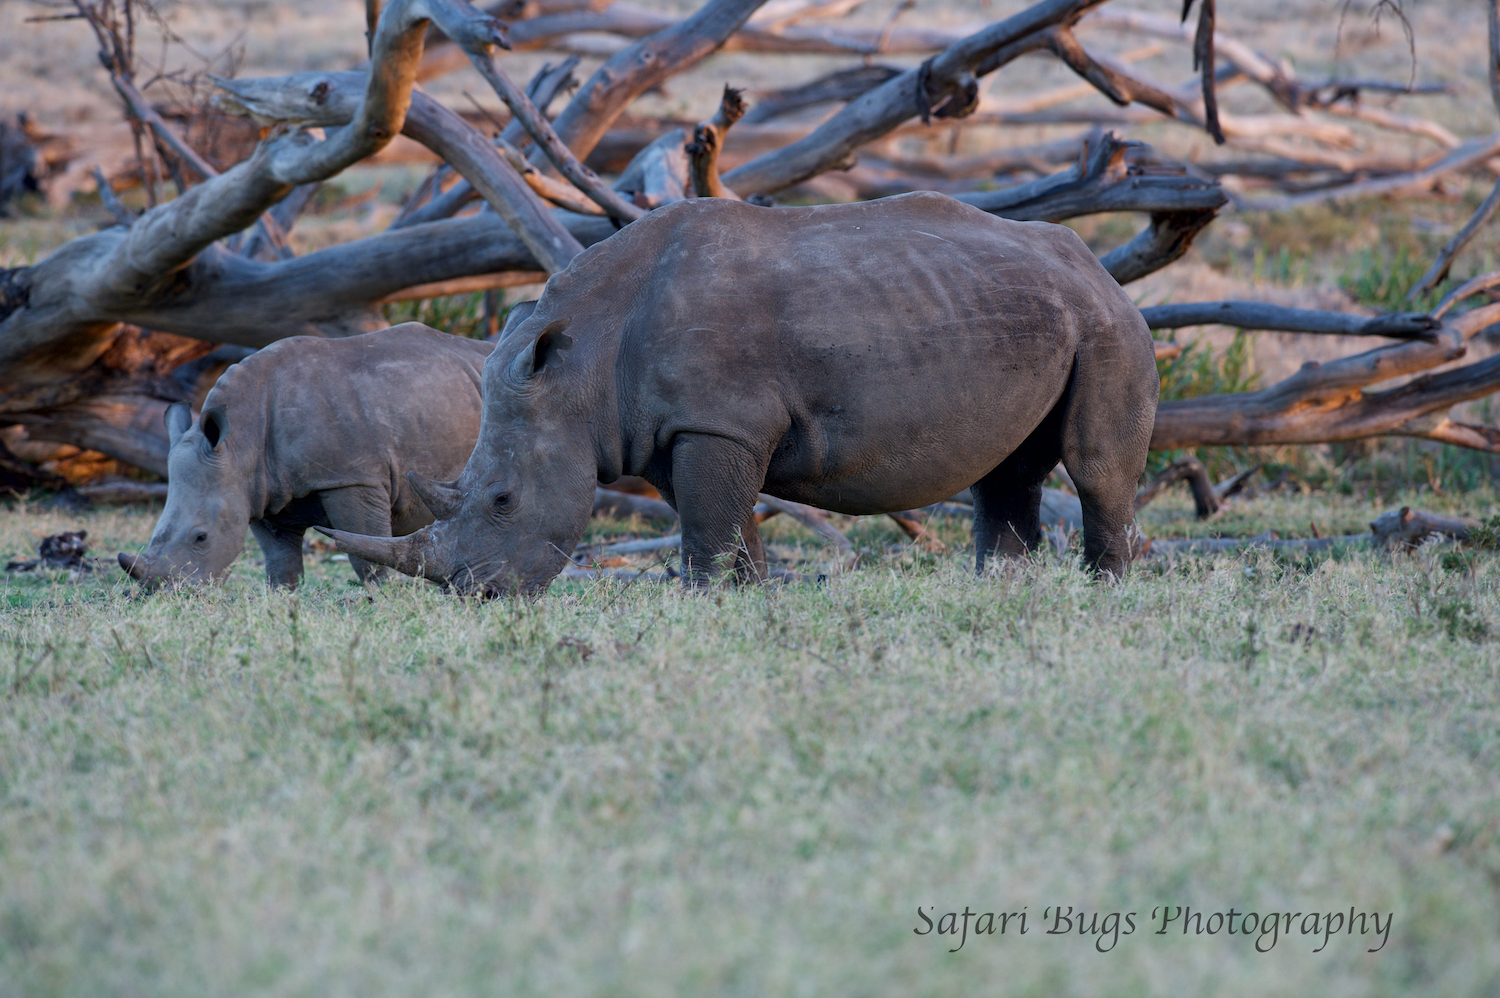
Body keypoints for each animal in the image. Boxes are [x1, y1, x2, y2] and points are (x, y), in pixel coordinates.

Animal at [120, 327, 492, 588]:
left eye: (201, 537)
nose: (165, 593)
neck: (241, 443)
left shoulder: (352, 478)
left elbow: (367, 558)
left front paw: (384, 600)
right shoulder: (261, 492)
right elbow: (281, 564)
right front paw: (284, 601)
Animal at [322, 192, 1152, 591]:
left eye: (500, 500)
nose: (477, 598)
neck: (581, 365)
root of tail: (1096, 266)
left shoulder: (718, 424)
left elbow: (707, 529)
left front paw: (703, 604)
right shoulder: (677, 431)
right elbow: (725, 525)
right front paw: (746, 600)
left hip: (1107, 327)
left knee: (1094, 468)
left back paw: (1102, 594)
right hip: (1035, 313)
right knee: (1006, 474)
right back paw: (1003, 590)